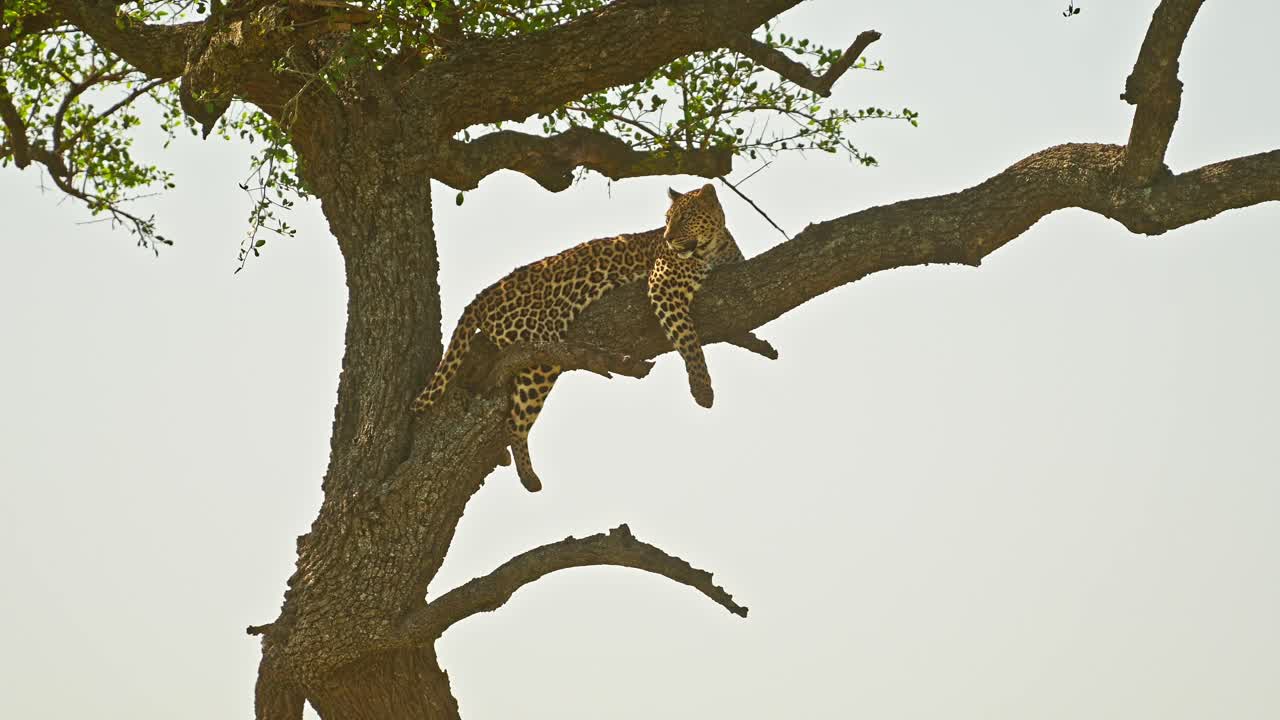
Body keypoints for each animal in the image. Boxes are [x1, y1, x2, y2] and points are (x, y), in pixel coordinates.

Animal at [412, 183, 745, 492]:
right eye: (667, 219)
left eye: (685, 217)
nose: (667, 238)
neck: (713, 246)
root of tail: (484, 295)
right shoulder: (663, 287)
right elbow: (688, 340)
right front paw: (702, 389)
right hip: (541, 355)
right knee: (514, 422)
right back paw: (528, 476)